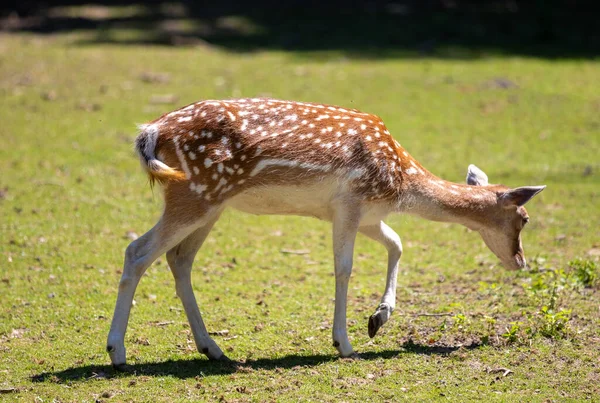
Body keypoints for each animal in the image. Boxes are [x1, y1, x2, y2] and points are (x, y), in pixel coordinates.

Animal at [105, 98, 548, 370]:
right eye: (524, 219)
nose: (520, 261)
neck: (400, 184)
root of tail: (149, 133)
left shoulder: (366, 214)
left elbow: (397, 243)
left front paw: (378, 318)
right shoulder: (351, 203)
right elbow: (344, 268)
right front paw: (345, 343)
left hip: (210, 203)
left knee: (178, 258)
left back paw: (212, 348)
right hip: (194, 193)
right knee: (137, 251)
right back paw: (117, 351)